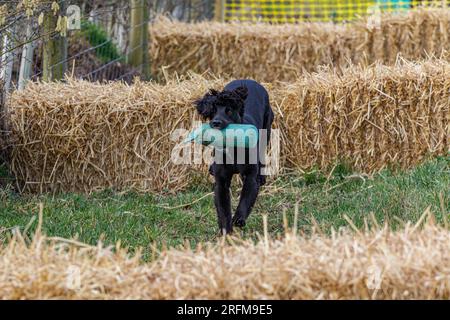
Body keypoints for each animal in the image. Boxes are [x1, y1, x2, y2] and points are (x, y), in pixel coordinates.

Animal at [194, 79, 274, 234]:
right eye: (213, 111)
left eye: (229, 110)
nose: (216, 123)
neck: (233, 149)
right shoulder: (221, 182)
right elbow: (223, 208)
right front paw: (226, 230)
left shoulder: (250, 177)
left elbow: (246, 199)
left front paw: (238, 219)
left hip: (266, 130)